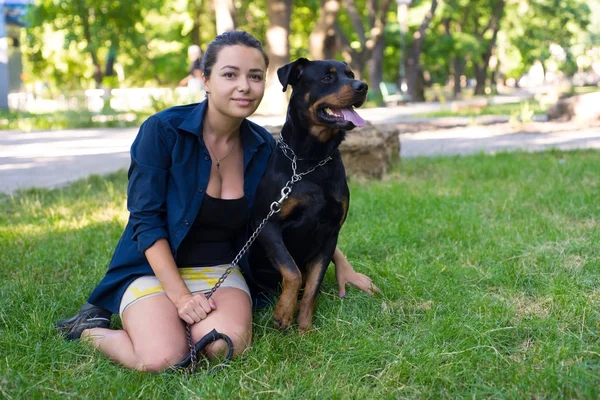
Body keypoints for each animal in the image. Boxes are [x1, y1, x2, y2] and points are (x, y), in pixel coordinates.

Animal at [247, 56, 366, 332]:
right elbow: (293, 271)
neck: (312, 159)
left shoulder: (330, 233)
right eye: (327, 78)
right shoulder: (267, 224)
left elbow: (312, 284)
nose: (362, 86)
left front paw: (304, 328)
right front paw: (283, 313)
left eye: (351, 74)